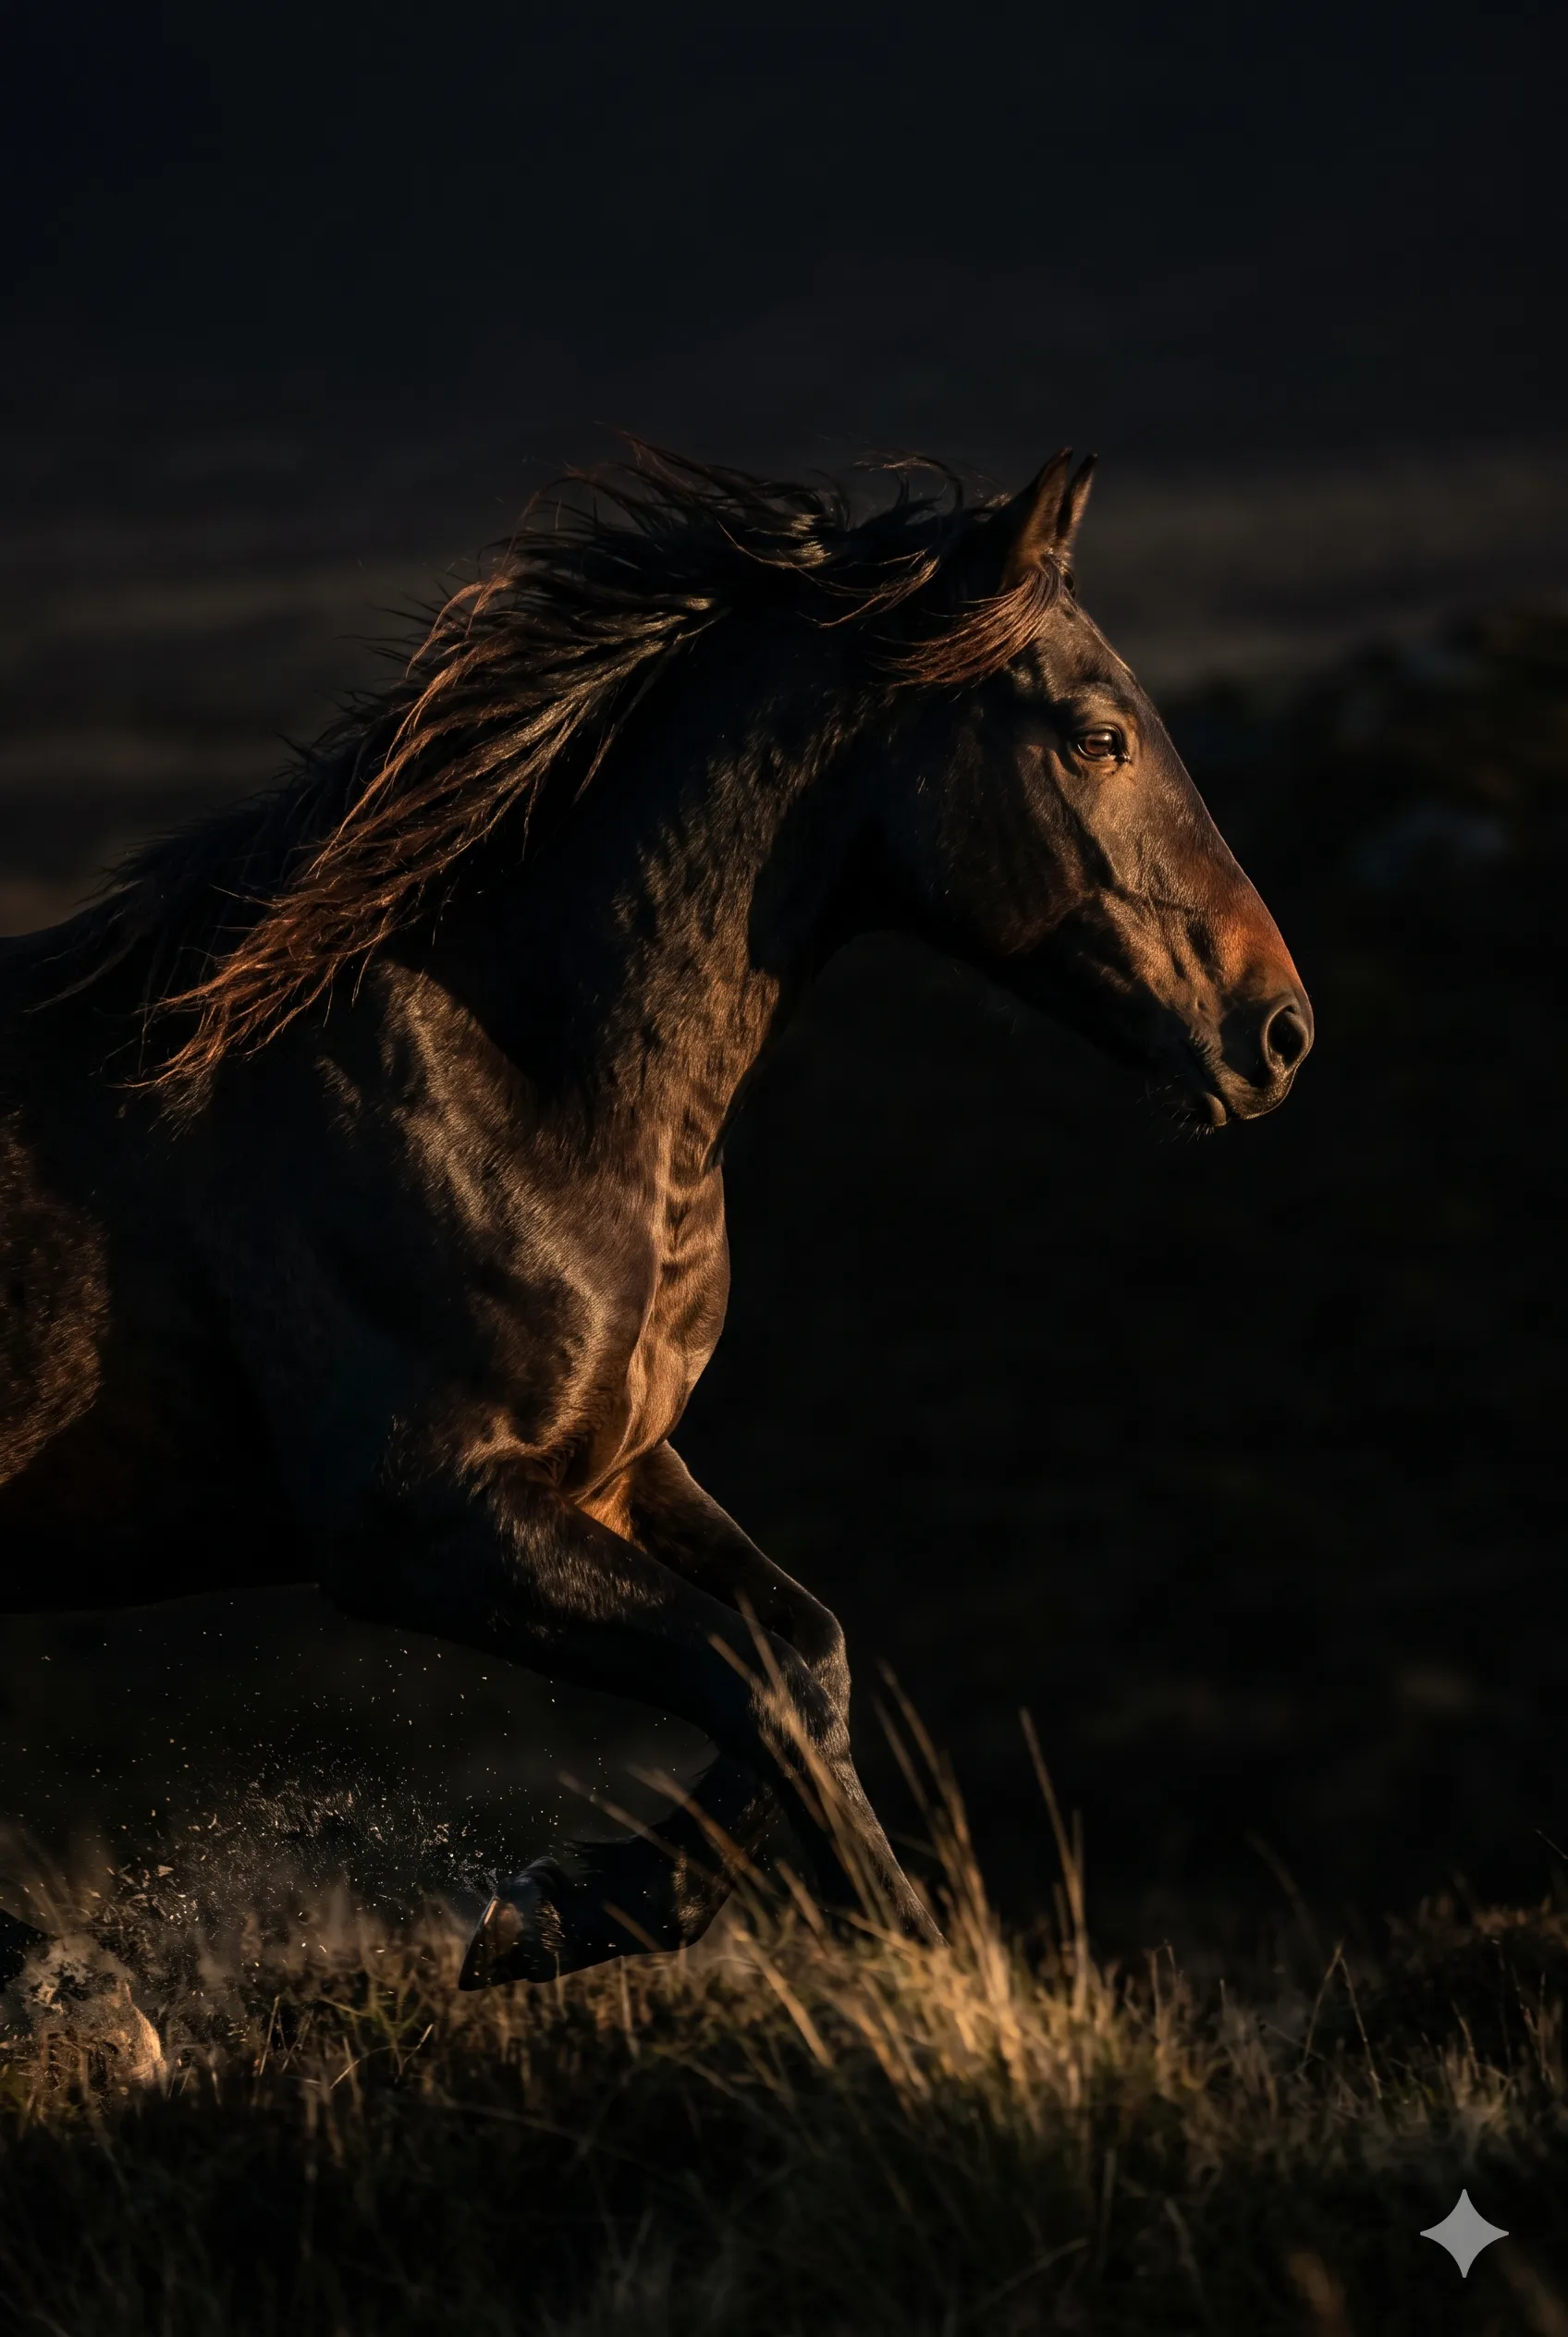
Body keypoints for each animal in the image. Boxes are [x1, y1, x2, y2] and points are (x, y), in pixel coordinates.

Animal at [0, 447, 1312, 1984]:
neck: (516, 1084)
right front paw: (909, 1957)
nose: (1277, 1031)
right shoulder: (426, 1526)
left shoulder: (616, 1467)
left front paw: (573, 1910)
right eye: (1099, 736)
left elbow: (806, 1656)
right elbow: (754, 1679)